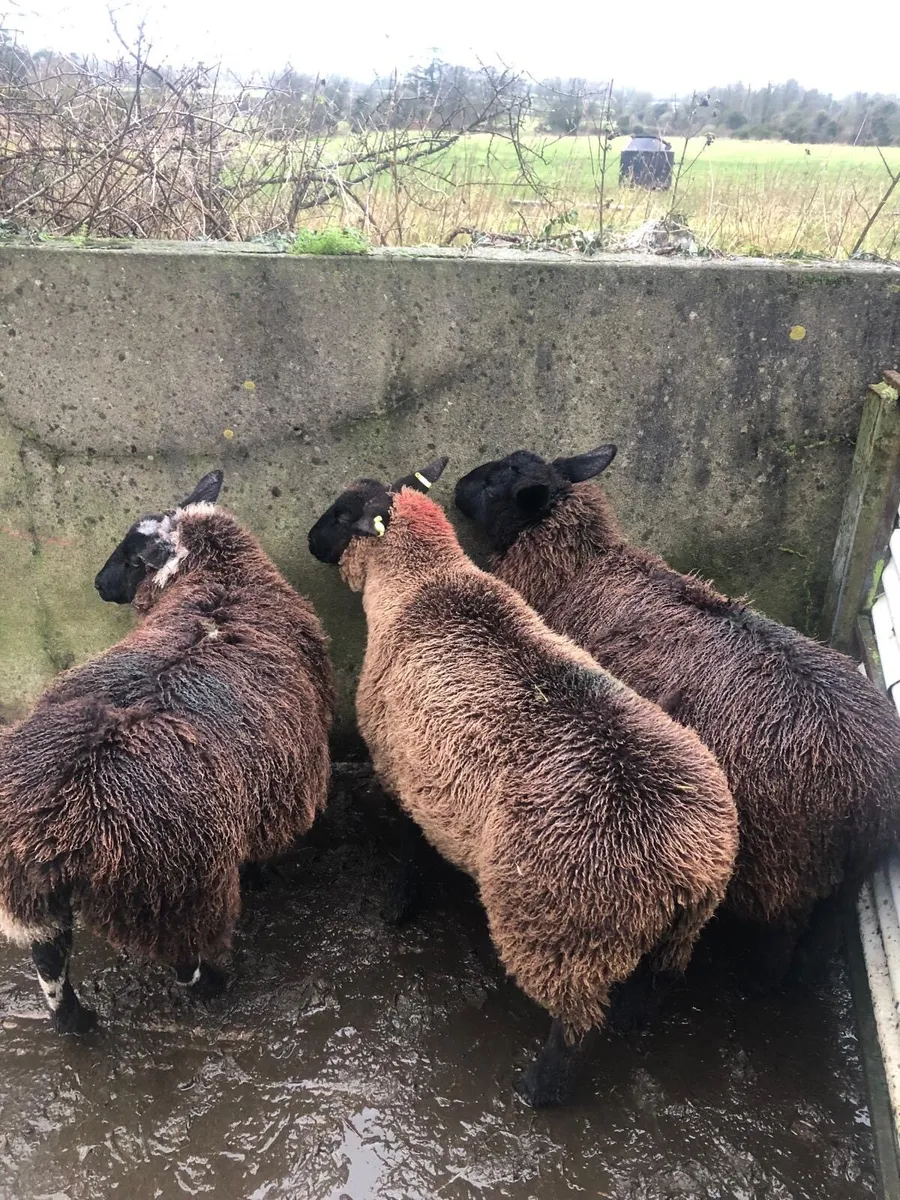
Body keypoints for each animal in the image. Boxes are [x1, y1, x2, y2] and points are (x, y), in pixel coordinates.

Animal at [0, 471, 334, 1035]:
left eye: (132, 557)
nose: (98, 585)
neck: (221, 583)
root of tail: (54, 819)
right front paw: (261, 877)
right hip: (174, 892)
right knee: (184, 965)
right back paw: (217, 987)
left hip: (51, 898)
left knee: (48, 959)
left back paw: (76, 1023)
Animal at [307, 458, 737, 1106]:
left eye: (338, 513)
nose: (309, 542)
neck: (422, 584)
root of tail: (685, 869)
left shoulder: (400, 767)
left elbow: (407, 849)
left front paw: (398, 908)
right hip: (678, 932)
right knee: (655, 985)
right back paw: (633, 1026)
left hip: (563, 934)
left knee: (573, 1027)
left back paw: (536, 1089)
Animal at [454, 446, 900, 981]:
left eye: (493, 483)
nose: (457, 485)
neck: (582, 566)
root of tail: (874, 799)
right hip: (839, 885)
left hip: (787, 871)